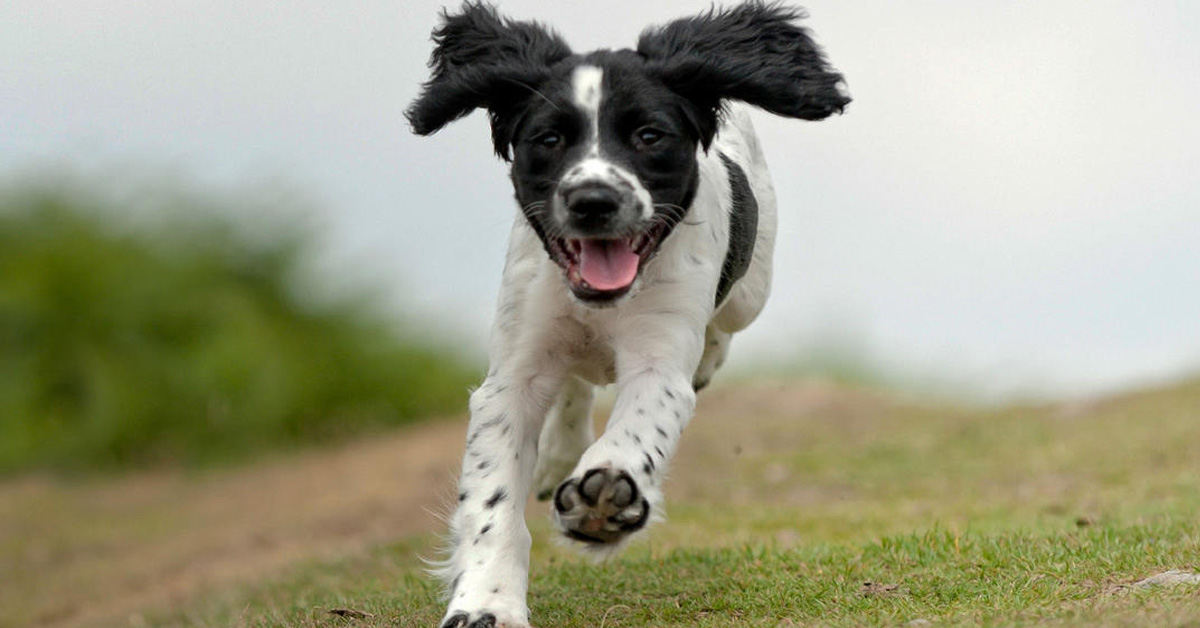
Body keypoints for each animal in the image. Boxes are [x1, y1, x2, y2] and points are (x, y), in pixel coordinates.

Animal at [408, 2, 849, 624]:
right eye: (548, 138)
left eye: (649, 136)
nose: (593, 200)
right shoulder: (513, 373)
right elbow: (491, 498)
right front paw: (486, 603)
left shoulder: (659, 362)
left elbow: (641, 425)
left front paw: (605, 497)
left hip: (749, 295)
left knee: (720, 332)